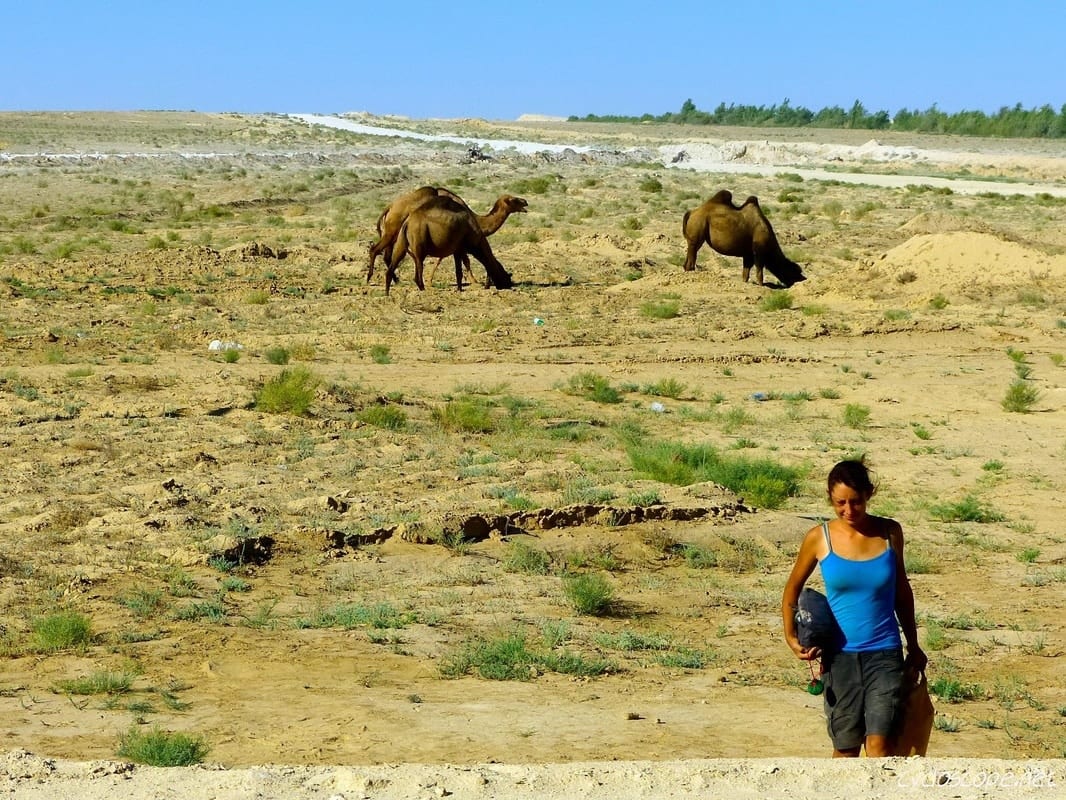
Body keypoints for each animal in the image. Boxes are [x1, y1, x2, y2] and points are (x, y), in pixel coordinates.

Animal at [366, 187, 528, 285]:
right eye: (513, 200)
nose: (525, 201)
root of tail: (390, 207)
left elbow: (447, 258)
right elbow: (464, 260)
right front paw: (474, 281)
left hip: (394, 235)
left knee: (387, 255)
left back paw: (396, 280)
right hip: (391, 232)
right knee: (375, 250)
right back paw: (369, 278)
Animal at [385, 197, 513, 298]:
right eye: (506, 275)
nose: (509, 285)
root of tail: (408, 222)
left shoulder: (457, 250)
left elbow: (459, 271)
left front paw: (459, 289)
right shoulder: (461, 248)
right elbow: (460, 270)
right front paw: (460, 289)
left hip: (401, 243)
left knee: (391, 267)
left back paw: (387, 294)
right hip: (419, 244)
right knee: (417, 272)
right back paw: (423, 291)